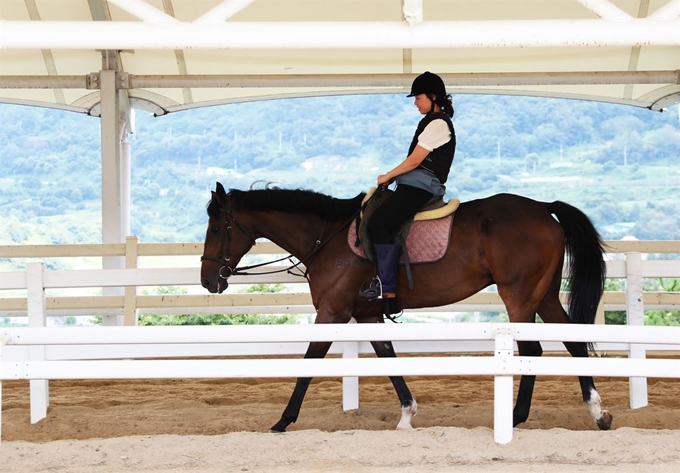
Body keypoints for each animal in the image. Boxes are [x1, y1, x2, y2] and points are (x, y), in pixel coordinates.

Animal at [201, 183, 612, 434]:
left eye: (217, 227)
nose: (208, 280)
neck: (327, 237)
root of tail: (543, 208)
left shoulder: (332, 313)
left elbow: (308, 366)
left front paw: (282, 422)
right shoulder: (367, 315)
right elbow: (388, 358)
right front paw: (406, 415)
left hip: (520, 296)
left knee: (532, 350)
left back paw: (515, 417)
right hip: (544, 296)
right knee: (573, 343)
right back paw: (597, 413)